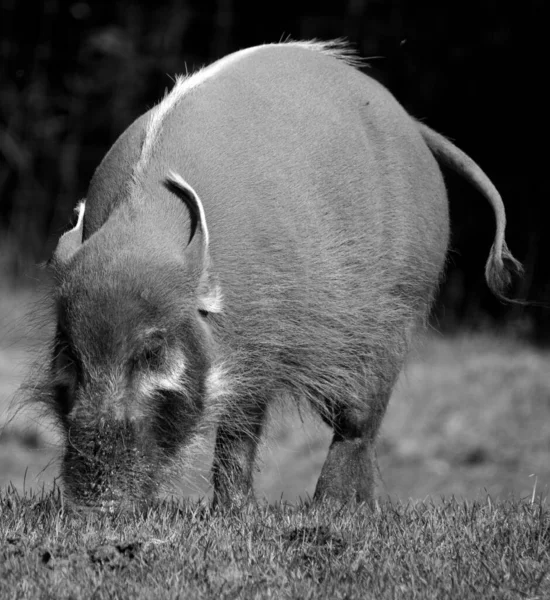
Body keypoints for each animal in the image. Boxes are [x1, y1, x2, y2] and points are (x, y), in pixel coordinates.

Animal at [37, 41, 520, 510]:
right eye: (69, 353)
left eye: (153, 351)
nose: (96, 507)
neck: (143, 227)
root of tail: (410, 121)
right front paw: (234, 513)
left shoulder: (258, 346)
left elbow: (240, 432)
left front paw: (237, 513)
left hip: (396, 314)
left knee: (359, 423)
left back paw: (334, 511)